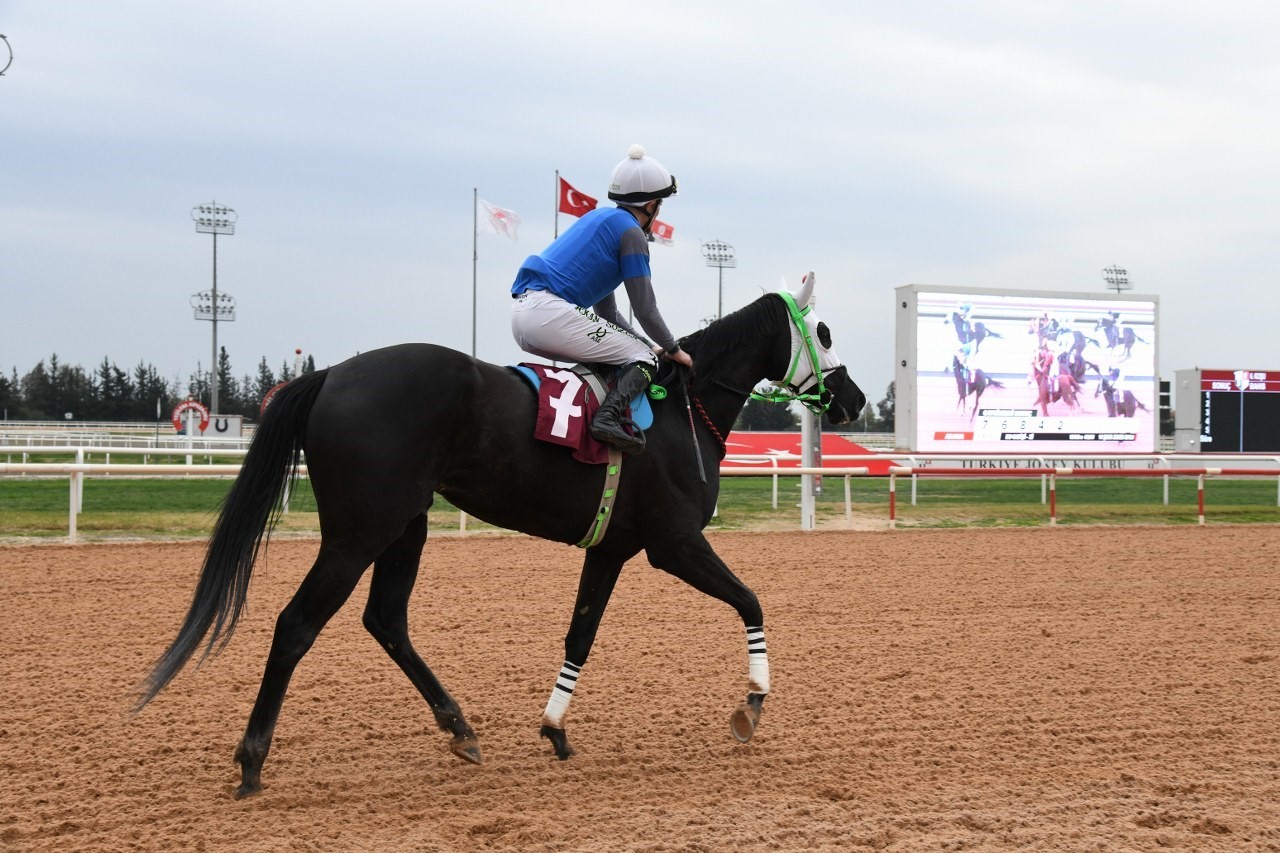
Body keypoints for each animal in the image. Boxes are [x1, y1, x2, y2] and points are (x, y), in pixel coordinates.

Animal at [135, 279, 865, 799]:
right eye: (824, 331)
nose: (853, 399)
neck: (681, 410)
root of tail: (330, 374)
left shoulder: (611, 548)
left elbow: (579, 635)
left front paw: (555, 729)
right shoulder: (675, 543)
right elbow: (751, 601)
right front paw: (752, 703)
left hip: (405, 524)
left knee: (387, 619)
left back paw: (459, 728)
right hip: (359, 529)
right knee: (296, 624)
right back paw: (252, 760)